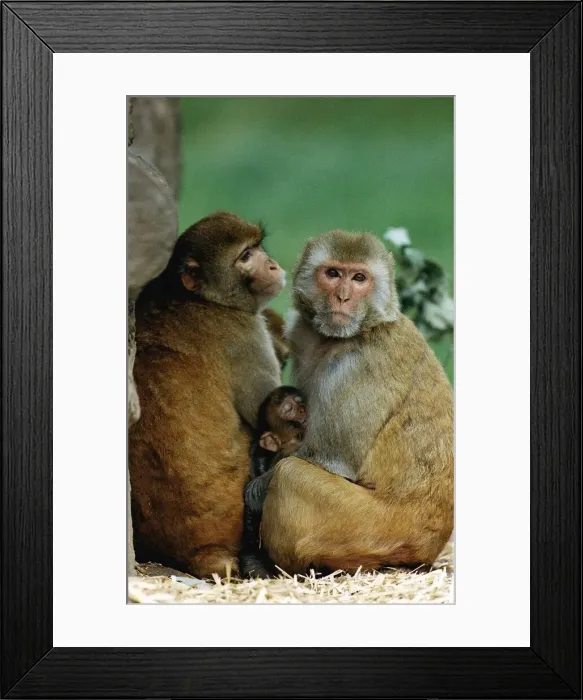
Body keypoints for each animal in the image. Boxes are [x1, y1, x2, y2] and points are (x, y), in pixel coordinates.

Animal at [128, 211, 286, 578]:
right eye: (245, 256)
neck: (203, 298)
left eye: (257, 247)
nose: (272, 265)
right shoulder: (245, 336)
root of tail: (201, 554)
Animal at [260, 229, 454, 575]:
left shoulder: (360, 367)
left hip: (375, 531)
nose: (343, 297)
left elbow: (327, 460)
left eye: (359, 278)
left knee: (289, 477)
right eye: (333, 274)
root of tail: (430, 549)